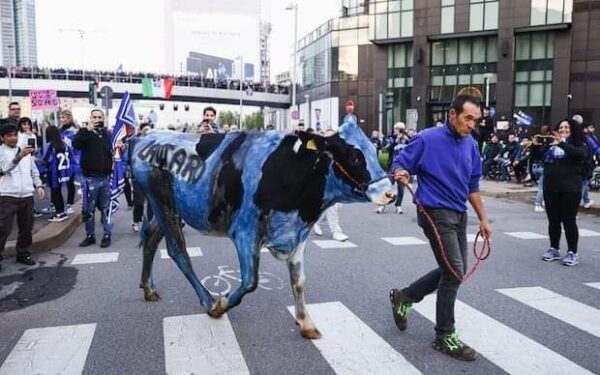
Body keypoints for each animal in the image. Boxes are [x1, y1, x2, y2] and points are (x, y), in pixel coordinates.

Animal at [129, 119, 396, 340]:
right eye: (354, 156)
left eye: (373, 150)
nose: (390, 193)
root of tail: (145, 137)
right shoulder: (245, 231)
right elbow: (250, 281)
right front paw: (221, 305)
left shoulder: (297, 234)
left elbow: (299, 281)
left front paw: (306, 323)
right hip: (161, 202)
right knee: (177, 250)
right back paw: (207, 301)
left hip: (169, 208)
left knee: (150, 241)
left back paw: (148, 288)